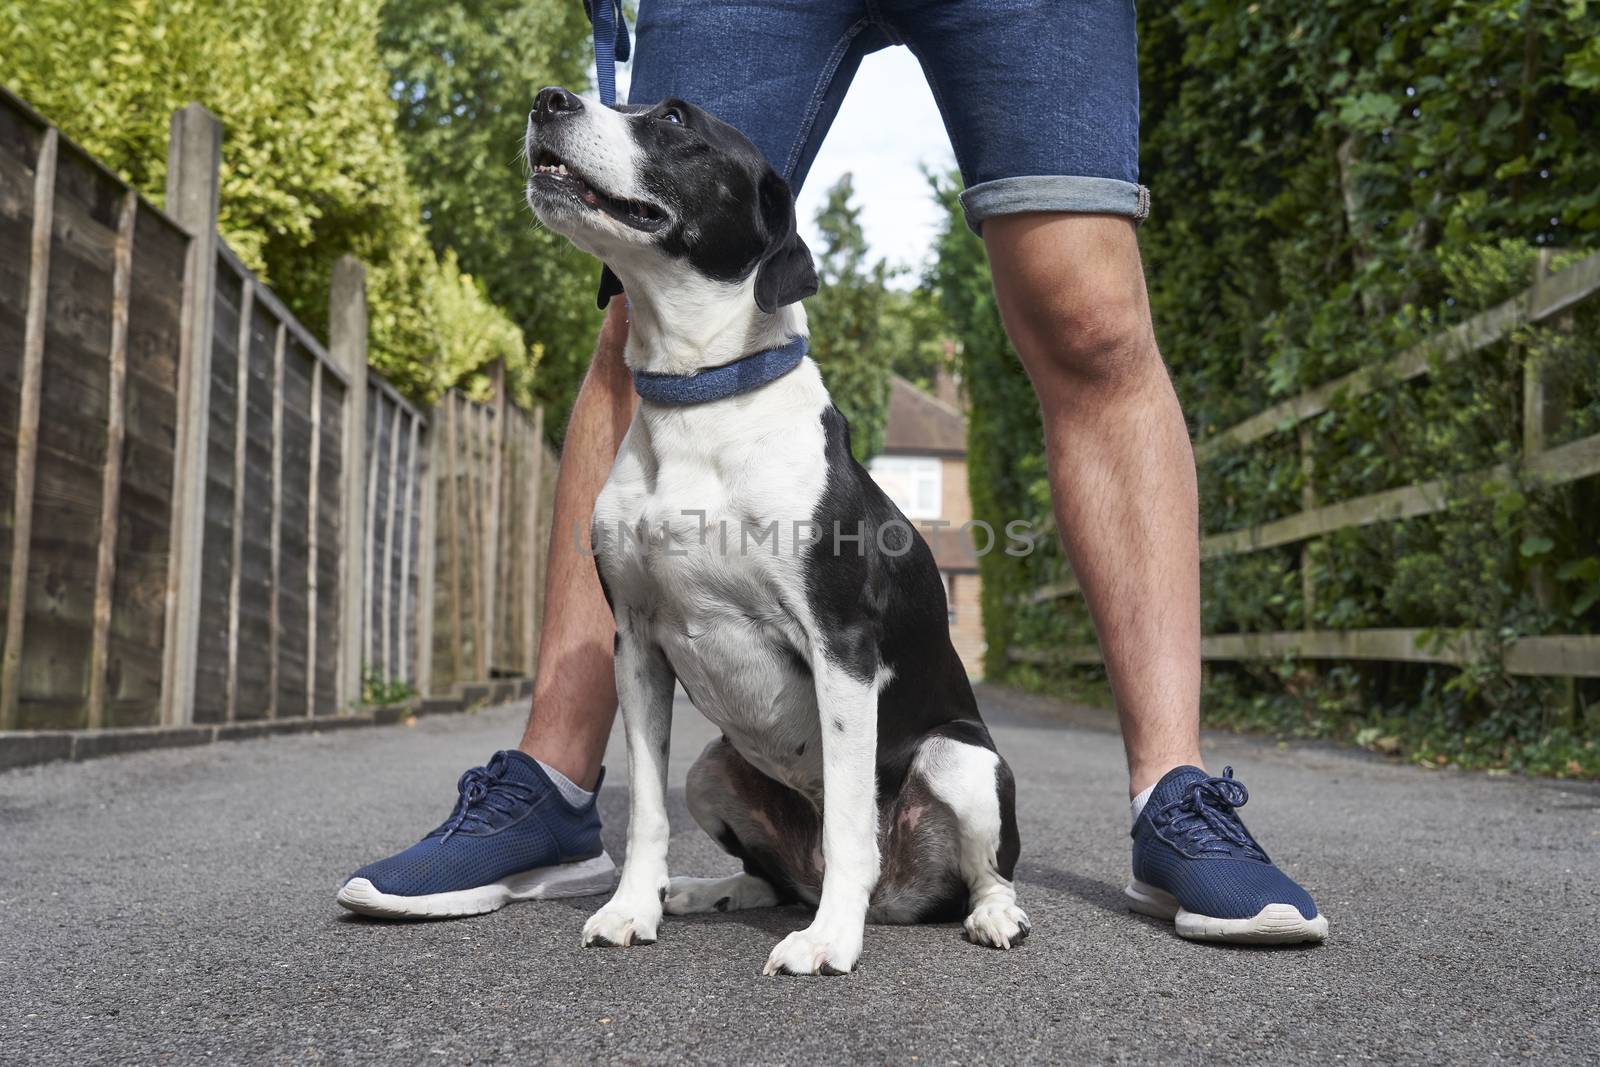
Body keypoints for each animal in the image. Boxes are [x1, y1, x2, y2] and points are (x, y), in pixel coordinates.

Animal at [524, 89, 1024, 979]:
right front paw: (631, 908)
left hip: (962, 759)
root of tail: (901, 898)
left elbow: (851, 818)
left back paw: (985, 914)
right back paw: (702, 891)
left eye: (676, 120)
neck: (699, 398)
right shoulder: (636, 645)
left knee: (978, 871)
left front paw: (828, 942)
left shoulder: (840, 644)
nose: (549, 99)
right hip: (711, 768)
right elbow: (644, 809)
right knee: (775, 875)